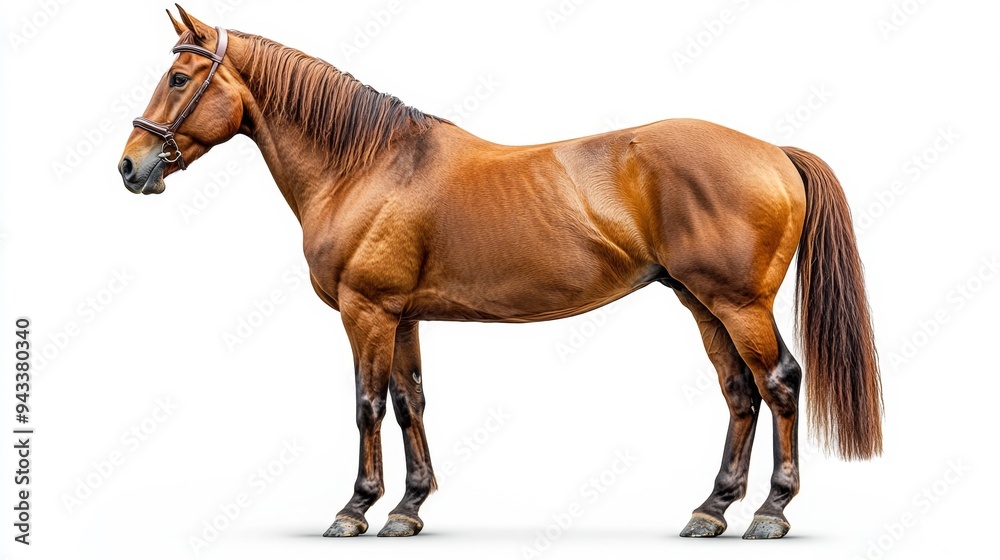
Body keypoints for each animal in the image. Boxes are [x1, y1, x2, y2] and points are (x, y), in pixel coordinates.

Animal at [118, 7, 882, 540]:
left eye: (179, 79)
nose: (131, 166)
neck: (366, 165)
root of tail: (773, 151)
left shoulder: (367, 311)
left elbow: (367, 405)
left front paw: (355, 509)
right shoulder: (402, 315)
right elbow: (410, 403)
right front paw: (409, 508)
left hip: (738, 302)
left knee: (779, 383)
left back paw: (772, 512)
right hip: (703, 303)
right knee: (740, 393)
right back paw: (711, 510)